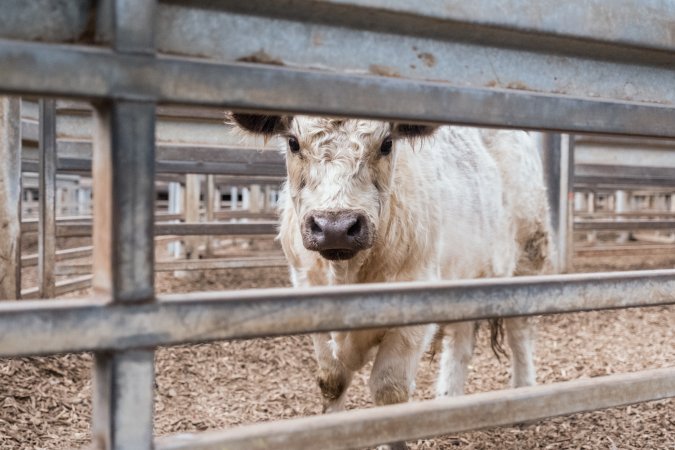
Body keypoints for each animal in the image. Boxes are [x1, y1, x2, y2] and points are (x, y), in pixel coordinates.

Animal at [230, 114, 552, 448]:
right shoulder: (308, 298)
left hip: (529, 256)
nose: (335, 227)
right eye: (293, 143)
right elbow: (332, 381)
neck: (347, 274)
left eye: (387, 144)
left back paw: (524, 396)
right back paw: (448, 401)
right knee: (460, 342)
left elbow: (389, 392)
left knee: (520, 334)